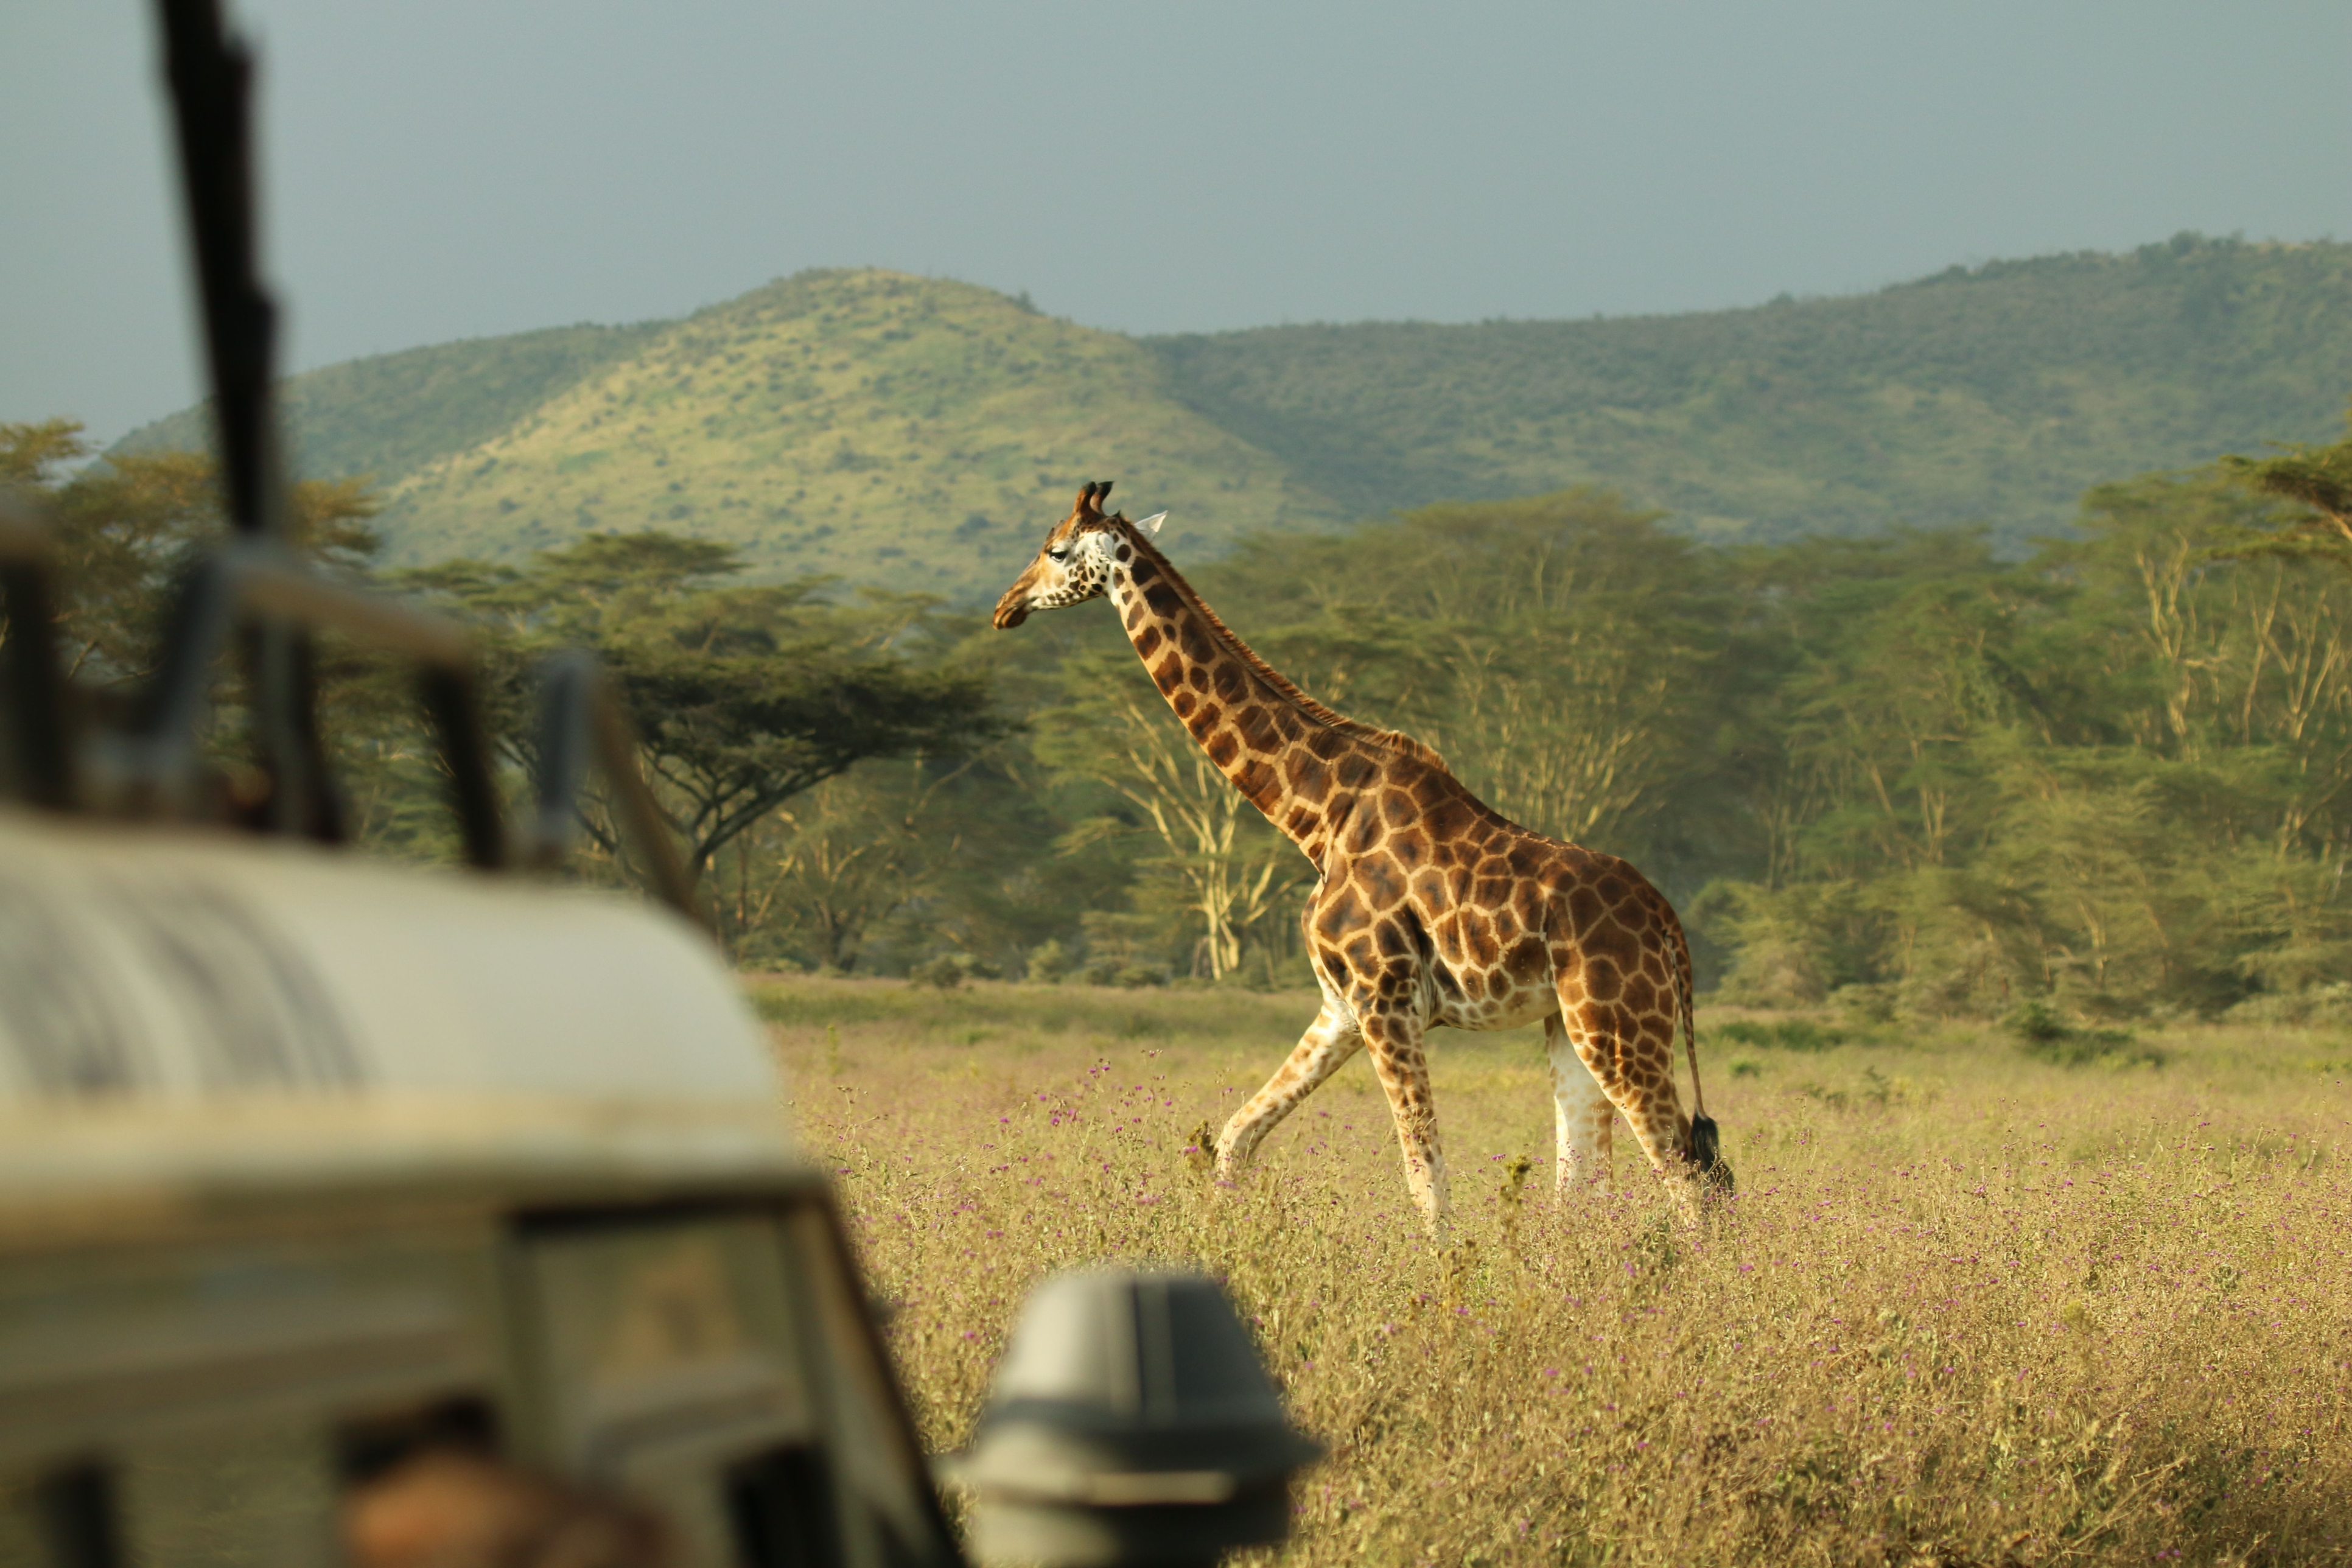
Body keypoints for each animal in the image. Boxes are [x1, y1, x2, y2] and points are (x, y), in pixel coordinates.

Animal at [992, 481, 1728, 1231]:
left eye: (1056, 550)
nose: (1006, 606)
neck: (1317, 818)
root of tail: (1668, 922)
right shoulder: (1339, 1006)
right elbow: (1234, 1139)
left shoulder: (1386, 999)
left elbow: (1425, 1176)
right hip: (1571, 1025)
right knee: (1593, 1179)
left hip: (1617, 1021)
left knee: (1687, 1171)